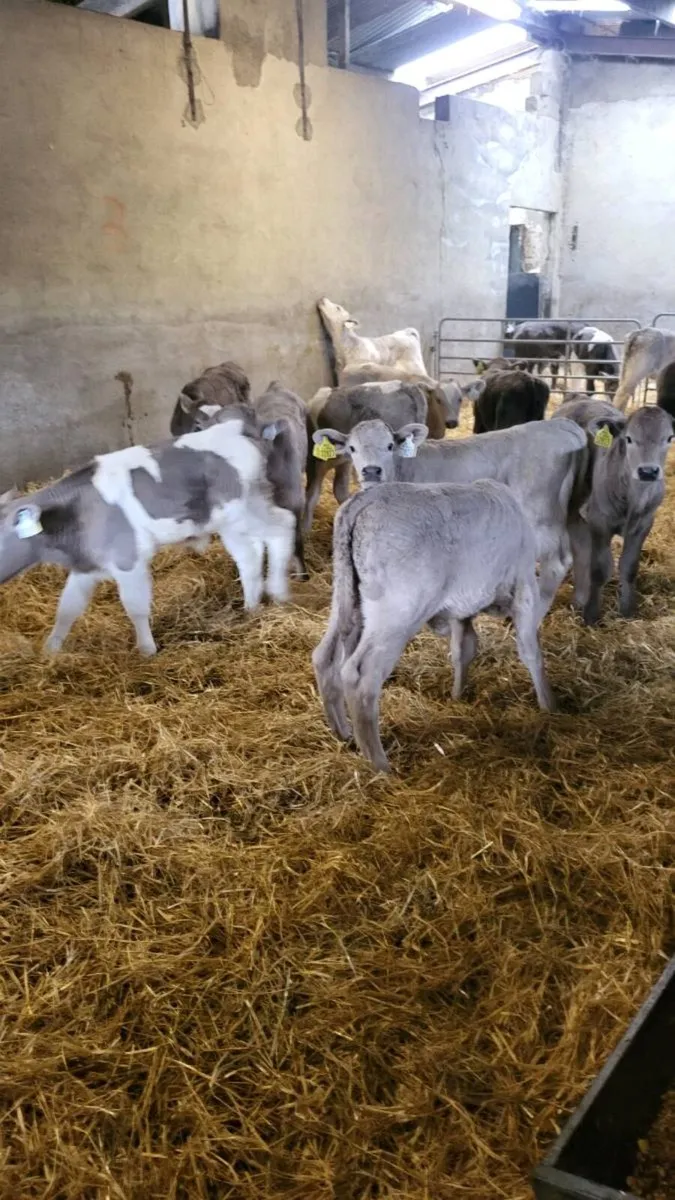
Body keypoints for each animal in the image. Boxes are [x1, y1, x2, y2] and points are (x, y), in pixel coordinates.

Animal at [0, 417, 295, 656]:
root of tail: (237, 429)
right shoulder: (87, 567)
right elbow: (67, 608)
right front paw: (50, 651)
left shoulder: (128, 560)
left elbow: (135, 606)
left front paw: (146, 650)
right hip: (231, 522)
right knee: (249, 556)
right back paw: (251, 606)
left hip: (247, 509)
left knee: (283, 526)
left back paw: (278, 592)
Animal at [304, 381, 429, 534]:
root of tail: (404, 385)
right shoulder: (344, 461)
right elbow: (338, 490)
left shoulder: (317, 462)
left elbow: (311, 495)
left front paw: (303, 532)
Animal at [312, 416, 588, 619]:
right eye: (352, 448)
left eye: (389, 446)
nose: (371, 471)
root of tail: (561, 424)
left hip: (541, 514)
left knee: (557, 562)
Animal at [312, 480, 553, 772]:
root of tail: (367, 498)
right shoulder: (525, 587)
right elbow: (531, 651)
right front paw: (548, 705)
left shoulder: (462, 609)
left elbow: (463, 649)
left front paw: (458, 695)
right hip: (395, 615)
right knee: (361, 675)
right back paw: (380, 764)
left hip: (345, 601)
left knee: (325, 657)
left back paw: (343, 733)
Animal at [551, 397, 673, 623]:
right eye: (629, 438)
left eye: (669, 438)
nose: (648, 471)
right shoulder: (600, 521)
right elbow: (599, 569)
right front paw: (591, 616)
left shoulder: (644, 523)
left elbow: (629, 567)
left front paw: (627, 611)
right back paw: (579, 598)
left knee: (581, 546)